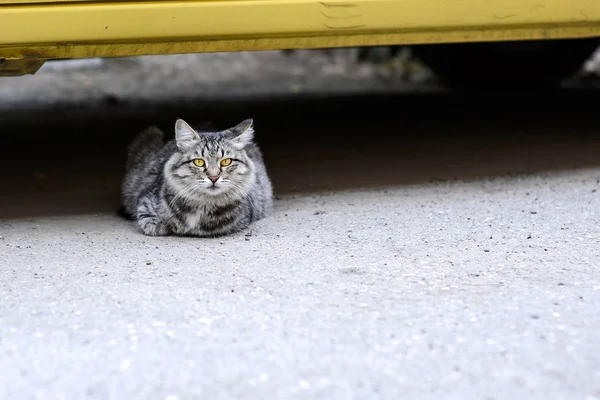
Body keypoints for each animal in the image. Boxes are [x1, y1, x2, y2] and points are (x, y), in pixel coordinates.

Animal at [122, 119, 272, 238]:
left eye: (226, 162)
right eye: (199, 162)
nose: (213, 177)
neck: (203, 205)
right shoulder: (145, 201)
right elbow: (149, 222)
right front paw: (161, 226)